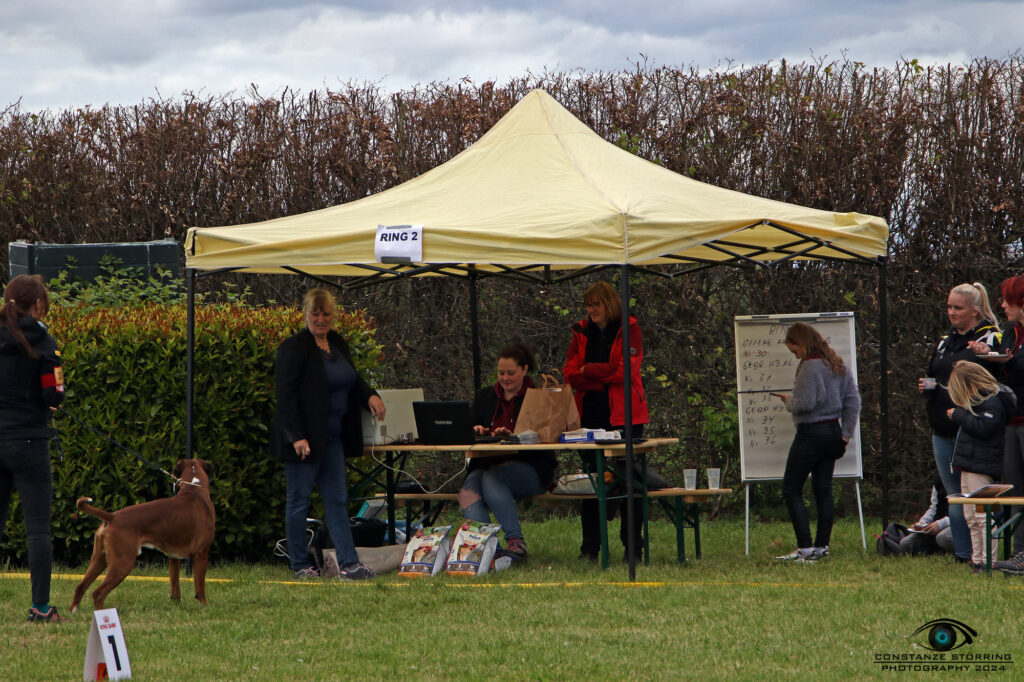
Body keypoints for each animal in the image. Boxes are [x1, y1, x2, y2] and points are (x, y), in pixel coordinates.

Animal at [70, 456, 216, 610]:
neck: (194, 489)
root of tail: (112, 516)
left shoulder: (173, 558)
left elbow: (175, 586)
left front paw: (176, 605)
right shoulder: (201, 554)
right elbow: (200, 586)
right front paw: (204, 606)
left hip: (99, 560)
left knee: (80, 586)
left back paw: (74, 611)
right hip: (122, 563)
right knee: (98, 593)